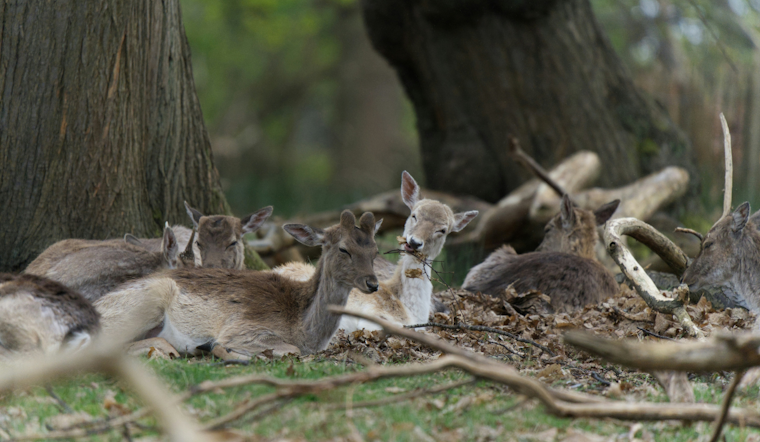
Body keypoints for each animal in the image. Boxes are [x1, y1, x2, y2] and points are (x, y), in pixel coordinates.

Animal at [93, 211, 380, 358]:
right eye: (343, 249)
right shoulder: (244, 327)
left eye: (375, 250)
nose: (373, 283)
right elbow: (291, 350)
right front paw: (219, 348)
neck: (304, 328)